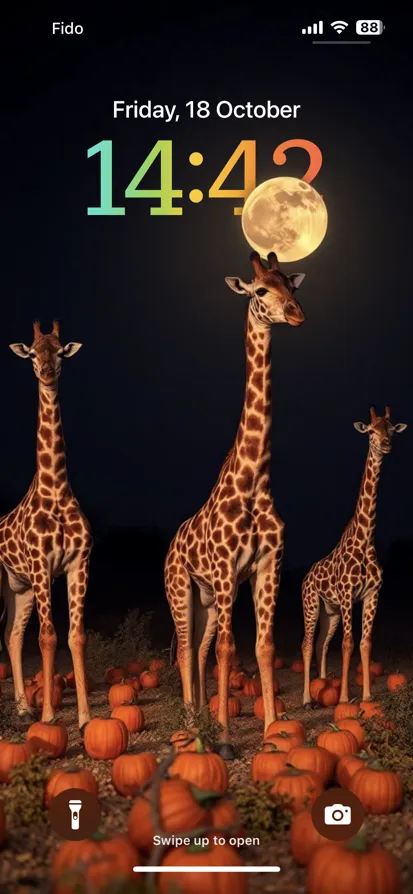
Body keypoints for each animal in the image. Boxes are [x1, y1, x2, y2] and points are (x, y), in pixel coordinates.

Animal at [165, 256, 306, 760]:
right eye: (259, 291)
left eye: (291, 286)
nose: (297, 314)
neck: (254, 480)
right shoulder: (228, 569)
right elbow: (230, 649)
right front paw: (225, 740)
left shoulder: (268, 564)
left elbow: (262, 647)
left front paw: (273, 729)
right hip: (181, 589)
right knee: (188, 648)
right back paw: (192, 725)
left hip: (206, 597)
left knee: (200, 648)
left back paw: (202, 719)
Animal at [300, 404, 408, 708]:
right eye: (370, 431)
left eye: (392, 428)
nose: (386, 444)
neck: (366, 538)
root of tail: (306, 576)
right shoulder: (348, 595)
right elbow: (348, 643)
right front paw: (345, 698)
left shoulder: (371, 594)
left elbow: (365, 642)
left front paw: (368, 696)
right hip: (311, 604)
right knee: (307, 643)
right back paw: (307, 698)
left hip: (331, 611)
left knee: (322, 643)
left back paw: (323, 684)